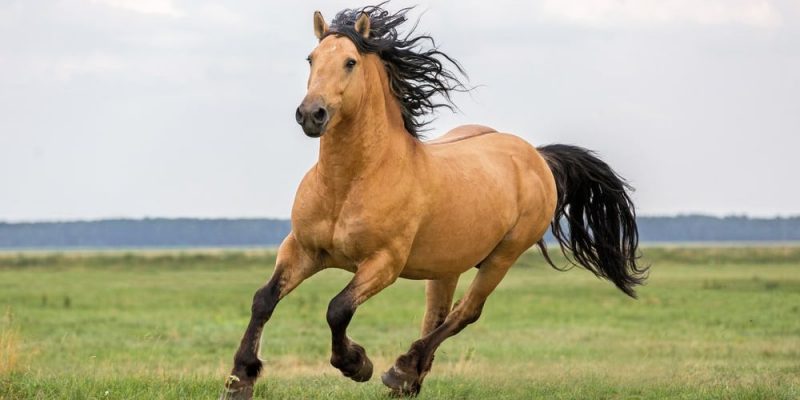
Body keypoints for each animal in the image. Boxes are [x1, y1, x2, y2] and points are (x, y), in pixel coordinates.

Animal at [221, 5, 646, 399]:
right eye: (311, 59)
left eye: (350, 62)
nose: (312, 114)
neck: (350, 182)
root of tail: (536, 156)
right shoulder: (303, 249)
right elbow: (264, 299)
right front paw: (240, 378)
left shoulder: (383, 263)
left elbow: (337, 309)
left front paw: (357, 364)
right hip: (447, 266)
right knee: (436, 316)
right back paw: (409, 379)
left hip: (502, 257)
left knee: (464, 313)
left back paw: (400, 371)